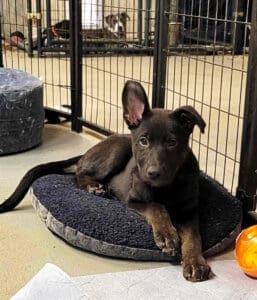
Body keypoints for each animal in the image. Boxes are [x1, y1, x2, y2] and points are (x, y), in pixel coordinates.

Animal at [76, 80, 212, 282]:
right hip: (118, 150)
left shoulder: (189, 211)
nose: (153, 173)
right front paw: (167, 235)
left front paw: (195, 261)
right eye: (143, 141)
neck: (165, 187)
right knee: (78, 172)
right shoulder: (133, 200)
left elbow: (194, 236)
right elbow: (156, 206)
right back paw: (94, 186)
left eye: (172, 142)